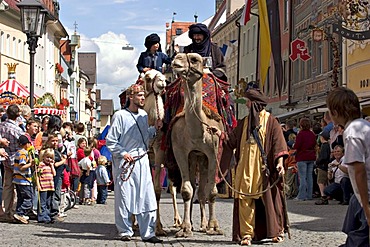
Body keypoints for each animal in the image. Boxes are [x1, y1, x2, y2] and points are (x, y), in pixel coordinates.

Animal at [141, 70, 183, 235]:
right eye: (147, 77)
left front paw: (158, 228)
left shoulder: (159, 151)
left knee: (172, 188)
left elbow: (157, 190)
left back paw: (178, 220)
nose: (162, 83)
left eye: (163, 76)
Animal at [170, 53, 223, 237]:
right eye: (177, 56)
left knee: (202, 191)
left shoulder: (214, 153)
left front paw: (214, 226)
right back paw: (193, 224)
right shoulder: (180, 151)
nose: (176, 61)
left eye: (194, 59)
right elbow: (187, 190)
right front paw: (185, 228)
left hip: (203, 158)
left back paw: (204, 224)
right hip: (195, 157)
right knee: (195, 188)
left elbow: (211, 191)